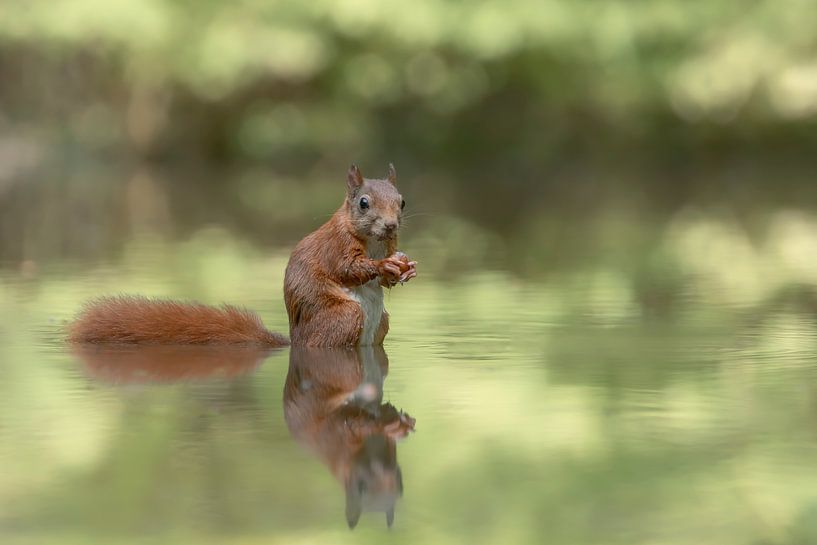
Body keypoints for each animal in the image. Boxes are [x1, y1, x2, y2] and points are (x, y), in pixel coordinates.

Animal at [67, 164, 418, 346]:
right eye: (363, 203)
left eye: (402, 202)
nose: (390, 225)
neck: (374, 241)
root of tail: (295, 340)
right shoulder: (336, 245)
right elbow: (347, 268)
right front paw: (383, 265)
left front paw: (405, 268)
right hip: (345, 317)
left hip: (381, 323)